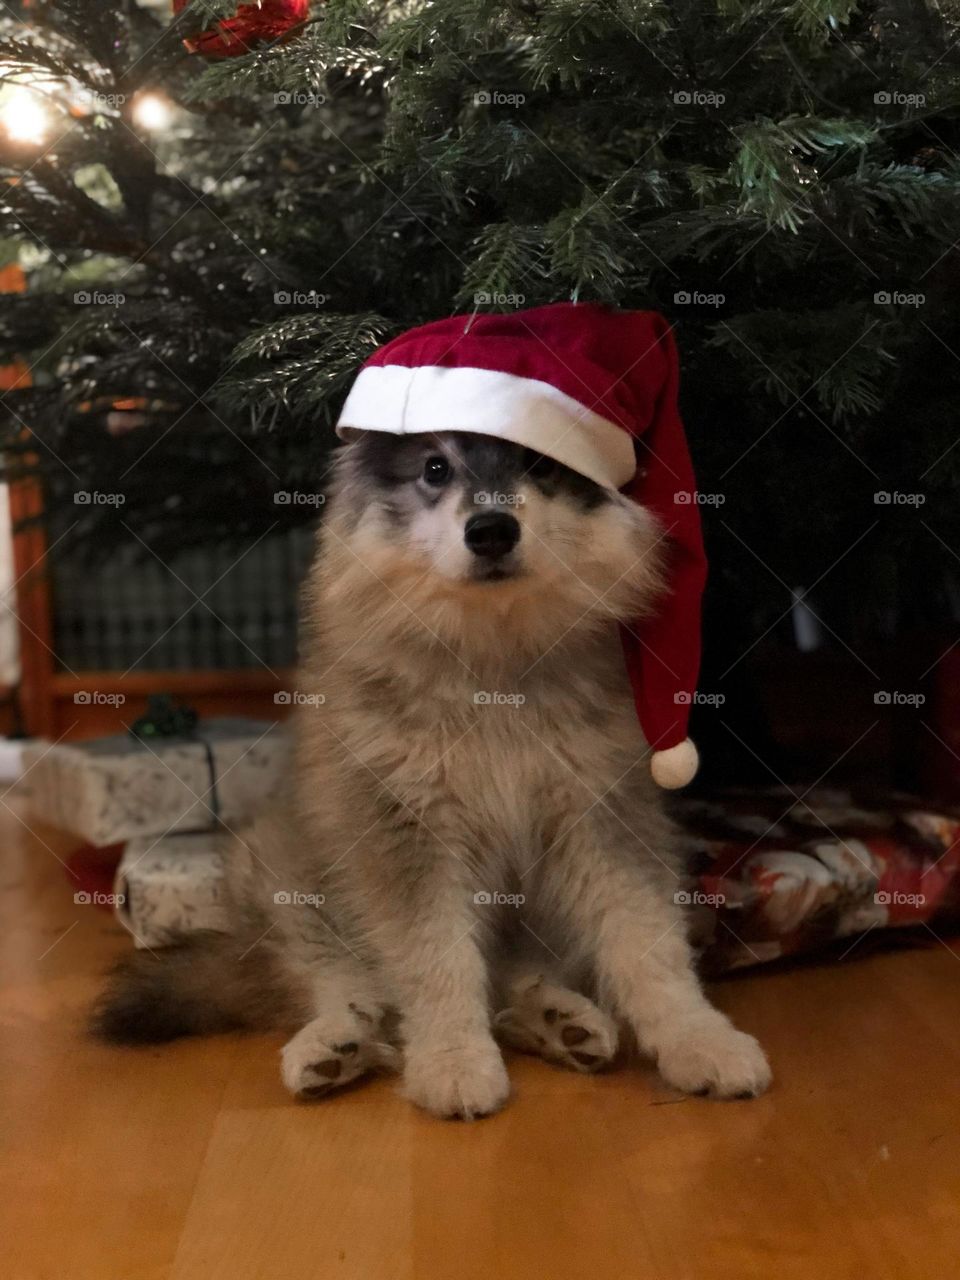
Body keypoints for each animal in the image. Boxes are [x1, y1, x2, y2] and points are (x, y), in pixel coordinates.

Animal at [96, 432, 773, 1121]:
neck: (495, 668)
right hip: (286, 880)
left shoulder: (604, 816)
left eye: (540, 463)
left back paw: (558, 1022)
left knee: (516, 977)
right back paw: (333, 1046)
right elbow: (436, 960)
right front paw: (452, 1059)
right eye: (435, 468)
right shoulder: (409, 835)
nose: (492, 530)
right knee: (342, 983)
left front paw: (697, 1037)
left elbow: (648, 947)